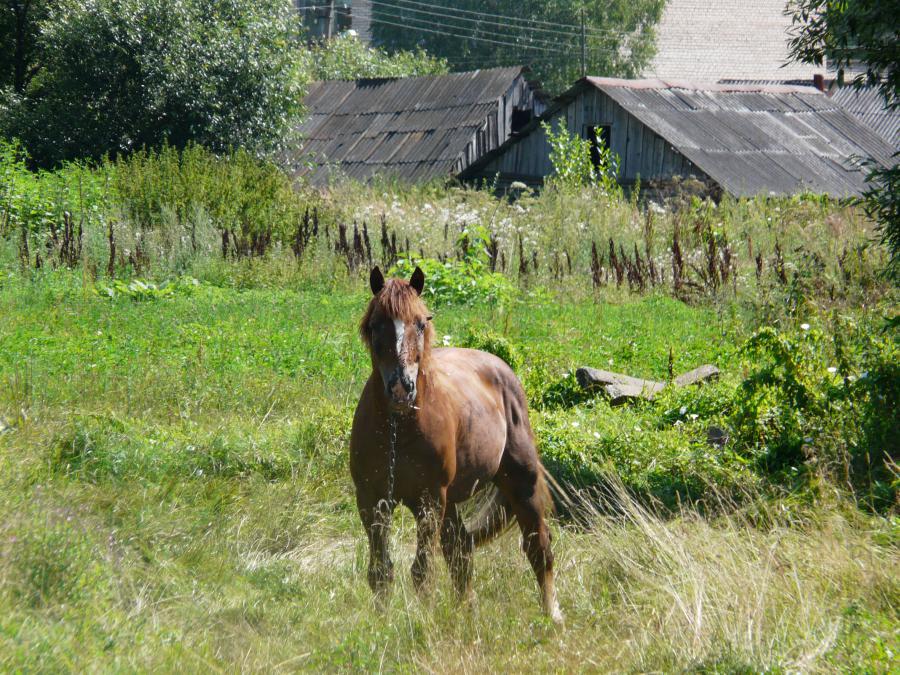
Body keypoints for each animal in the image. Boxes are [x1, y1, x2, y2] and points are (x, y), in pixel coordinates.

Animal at [346, 264, 564, 624]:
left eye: (421, 322)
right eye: (376, 324)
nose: (401, 388)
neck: (398, 429)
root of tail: (501, 367)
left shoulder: (429, 499)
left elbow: (422, 571)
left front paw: (423, 622)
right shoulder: (372, 499)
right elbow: (380, 571)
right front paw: (381, 624)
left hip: (520, 483)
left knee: (538, 547)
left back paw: (552, 615)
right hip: (448, 504)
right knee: (460, 550)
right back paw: (468, 612)